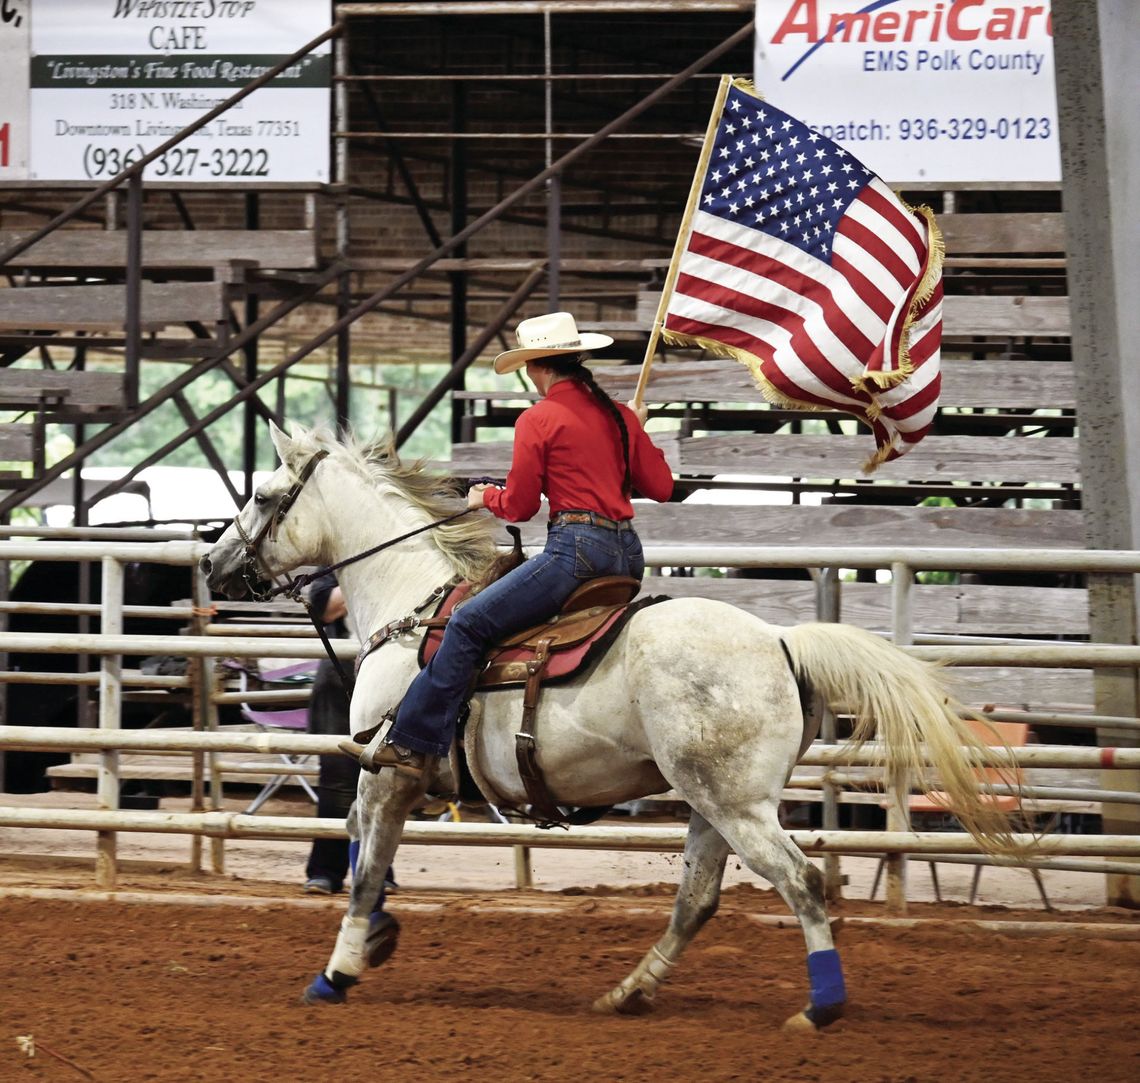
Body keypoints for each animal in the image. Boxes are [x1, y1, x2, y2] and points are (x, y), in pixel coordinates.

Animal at [202, 424, 1016, 1035]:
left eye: (264, 495)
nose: (213, 562)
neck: (415, 605)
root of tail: (782, 640)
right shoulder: (394, 780)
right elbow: (357, 844)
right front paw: (375, 938)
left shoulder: (392, 771)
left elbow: (367, 863)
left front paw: (336, 971)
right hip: (713, 803)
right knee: (698, 900)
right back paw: (630, 992)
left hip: (737, 805)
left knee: (801, 879)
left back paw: (819, 1009)